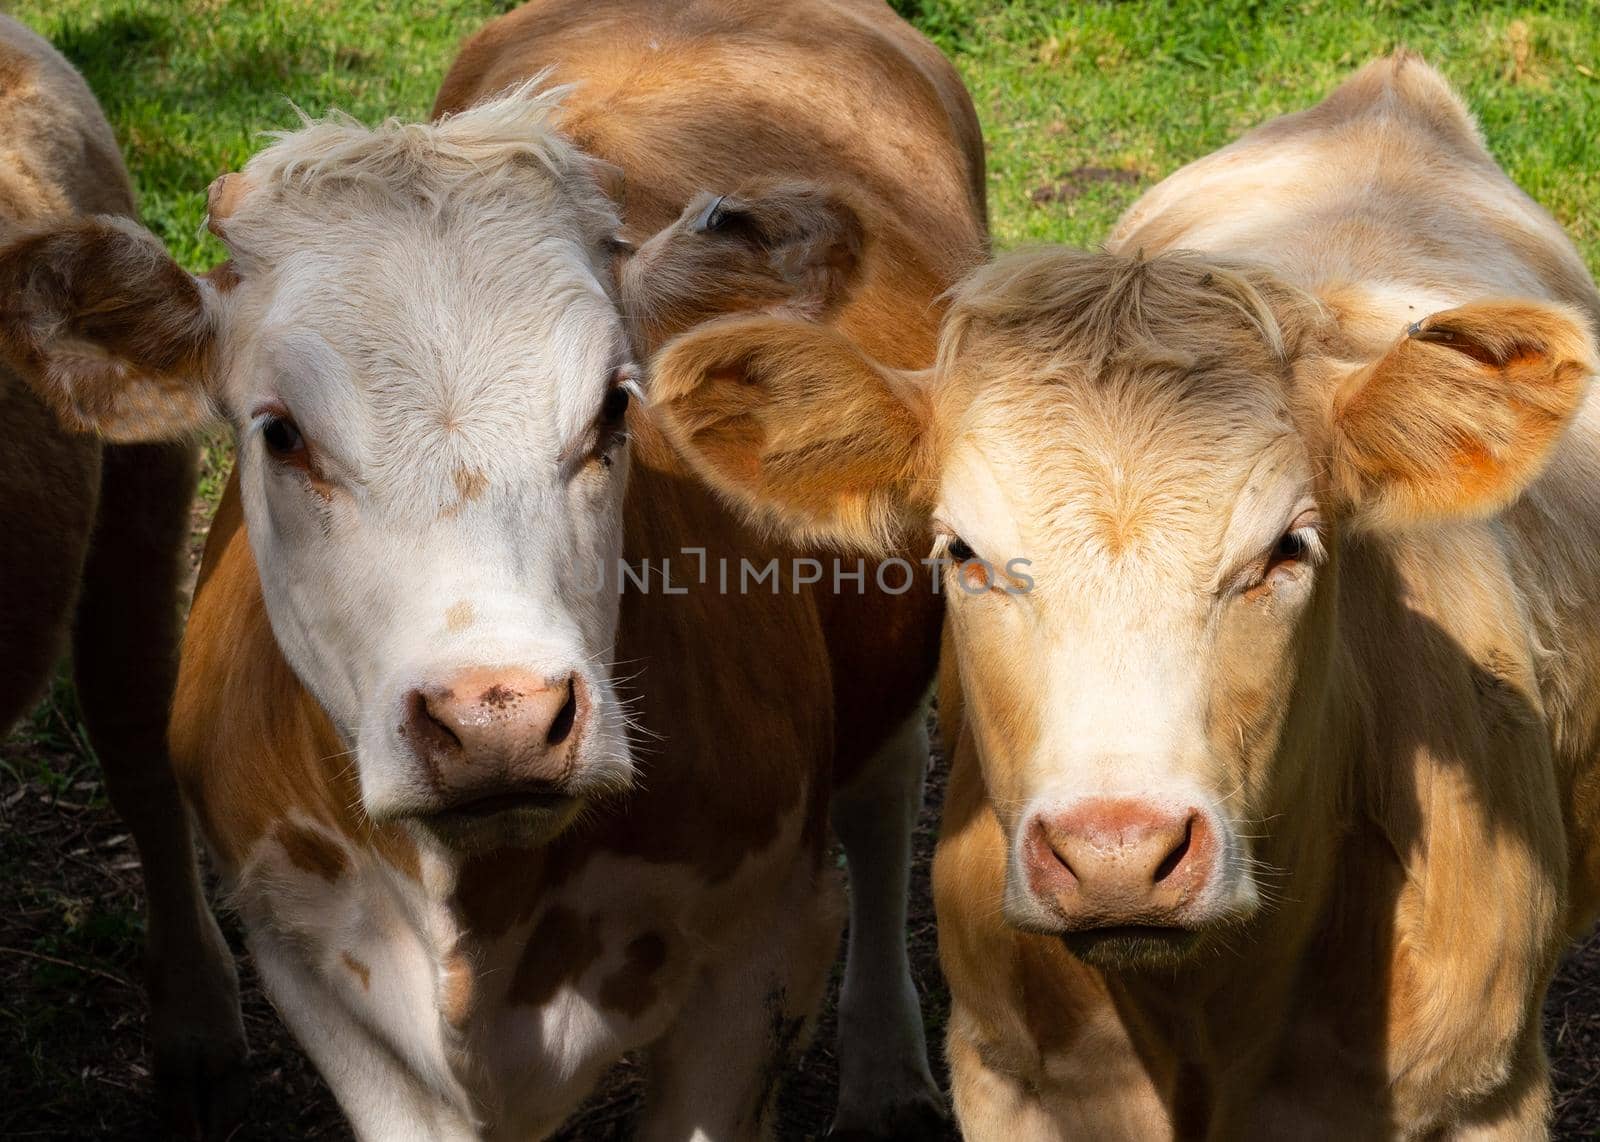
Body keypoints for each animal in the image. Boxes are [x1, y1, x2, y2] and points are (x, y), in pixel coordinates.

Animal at [0, 2, 985, 1138]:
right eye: (280, 431)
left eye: (614, 407)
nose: (496, 715)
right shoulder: (317, 972)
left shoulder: (762, 953)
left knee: (884, 800)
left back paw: (885, 1073)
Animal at [646, 51, 1600, 1132]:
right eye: (963, 553)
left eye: (1286, 549)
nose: (1116, 853)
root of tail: (1386, 90)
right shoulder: (1012, 1073)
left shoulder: (1483, 1094)